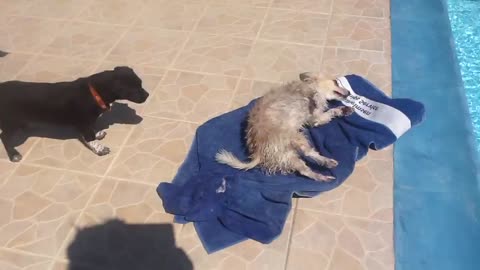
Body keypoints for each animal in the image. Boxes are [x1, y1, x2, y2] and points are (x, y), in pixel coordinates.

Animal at [0, 66, 149, 161]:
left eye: (141, 83)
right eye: (134, 89)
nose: (148, 95)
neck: (94, 92)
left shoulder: (87, 122)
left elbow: (92, 129)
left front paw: (98, 133)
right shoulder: (83, 122)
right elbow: (89, 137)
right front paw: (99, 148)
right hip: (10, 123)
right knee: (4, 137)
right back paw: (13, 154)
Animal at [217, 71, 352, 181]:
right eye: (336, 82)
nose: (349, 92)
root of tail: (258, 151)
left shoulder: (315, 118)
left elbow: (329, 112)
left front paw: (343, 110)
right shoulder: (312, 105)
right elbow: (315, 97)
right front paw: (316, 98)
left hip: (288, 155)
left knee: (305, 170)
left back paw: (323, 174)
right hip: (296, 137)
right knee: (308, 153)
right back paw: (326, 163)